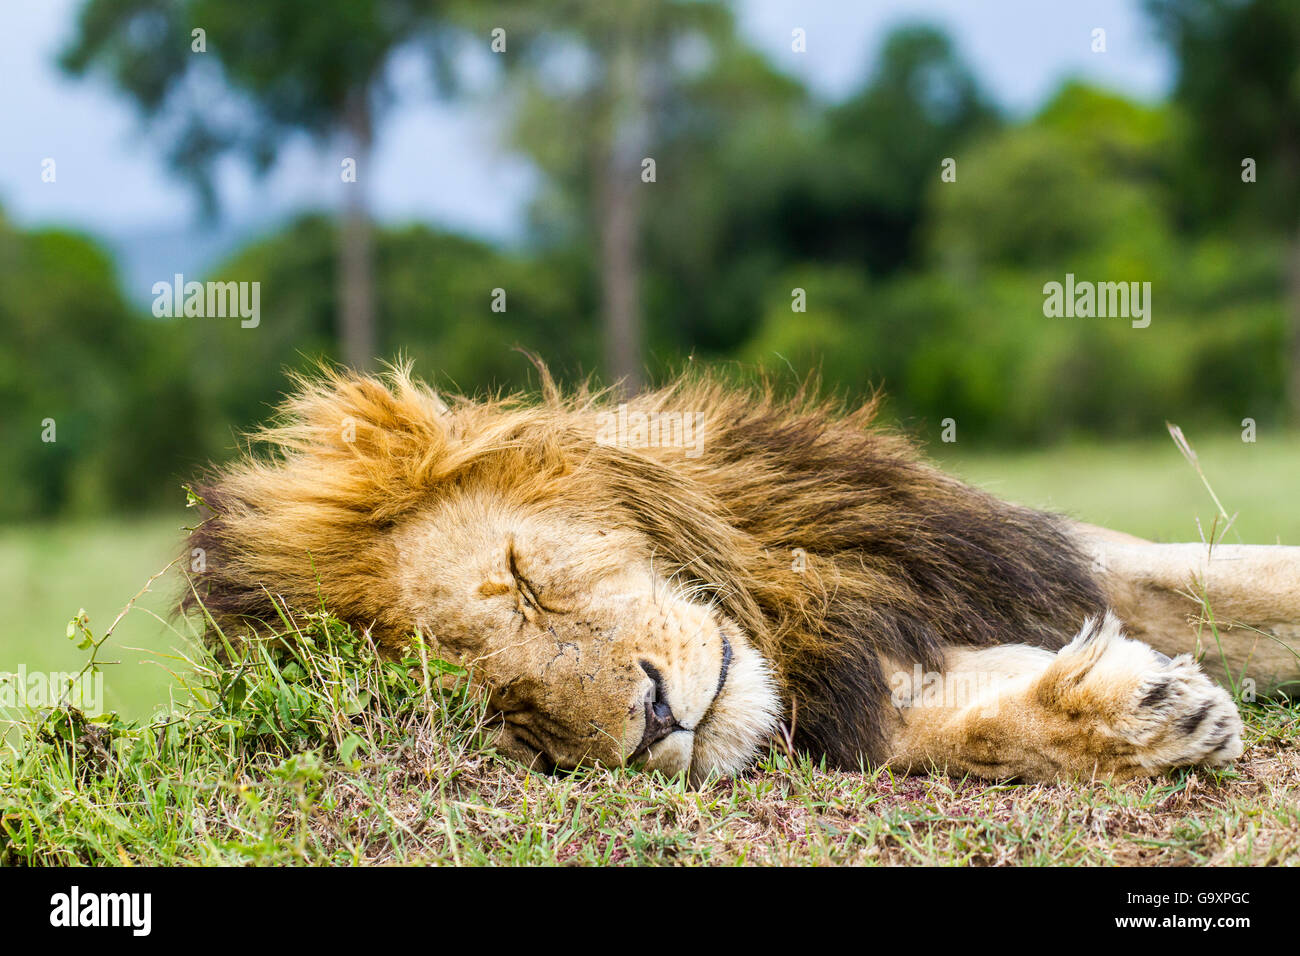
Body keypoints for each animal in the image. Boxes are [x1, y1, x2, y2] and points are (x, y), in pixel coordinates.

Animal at [180, 362, 1300, 785]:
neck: (784, 601)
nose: (654, 721)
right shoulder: (843, 682)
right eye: (509, 718)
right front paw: (1136, 716)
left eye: (524, 578)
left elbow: (1239, 584)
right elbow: (945, 728)